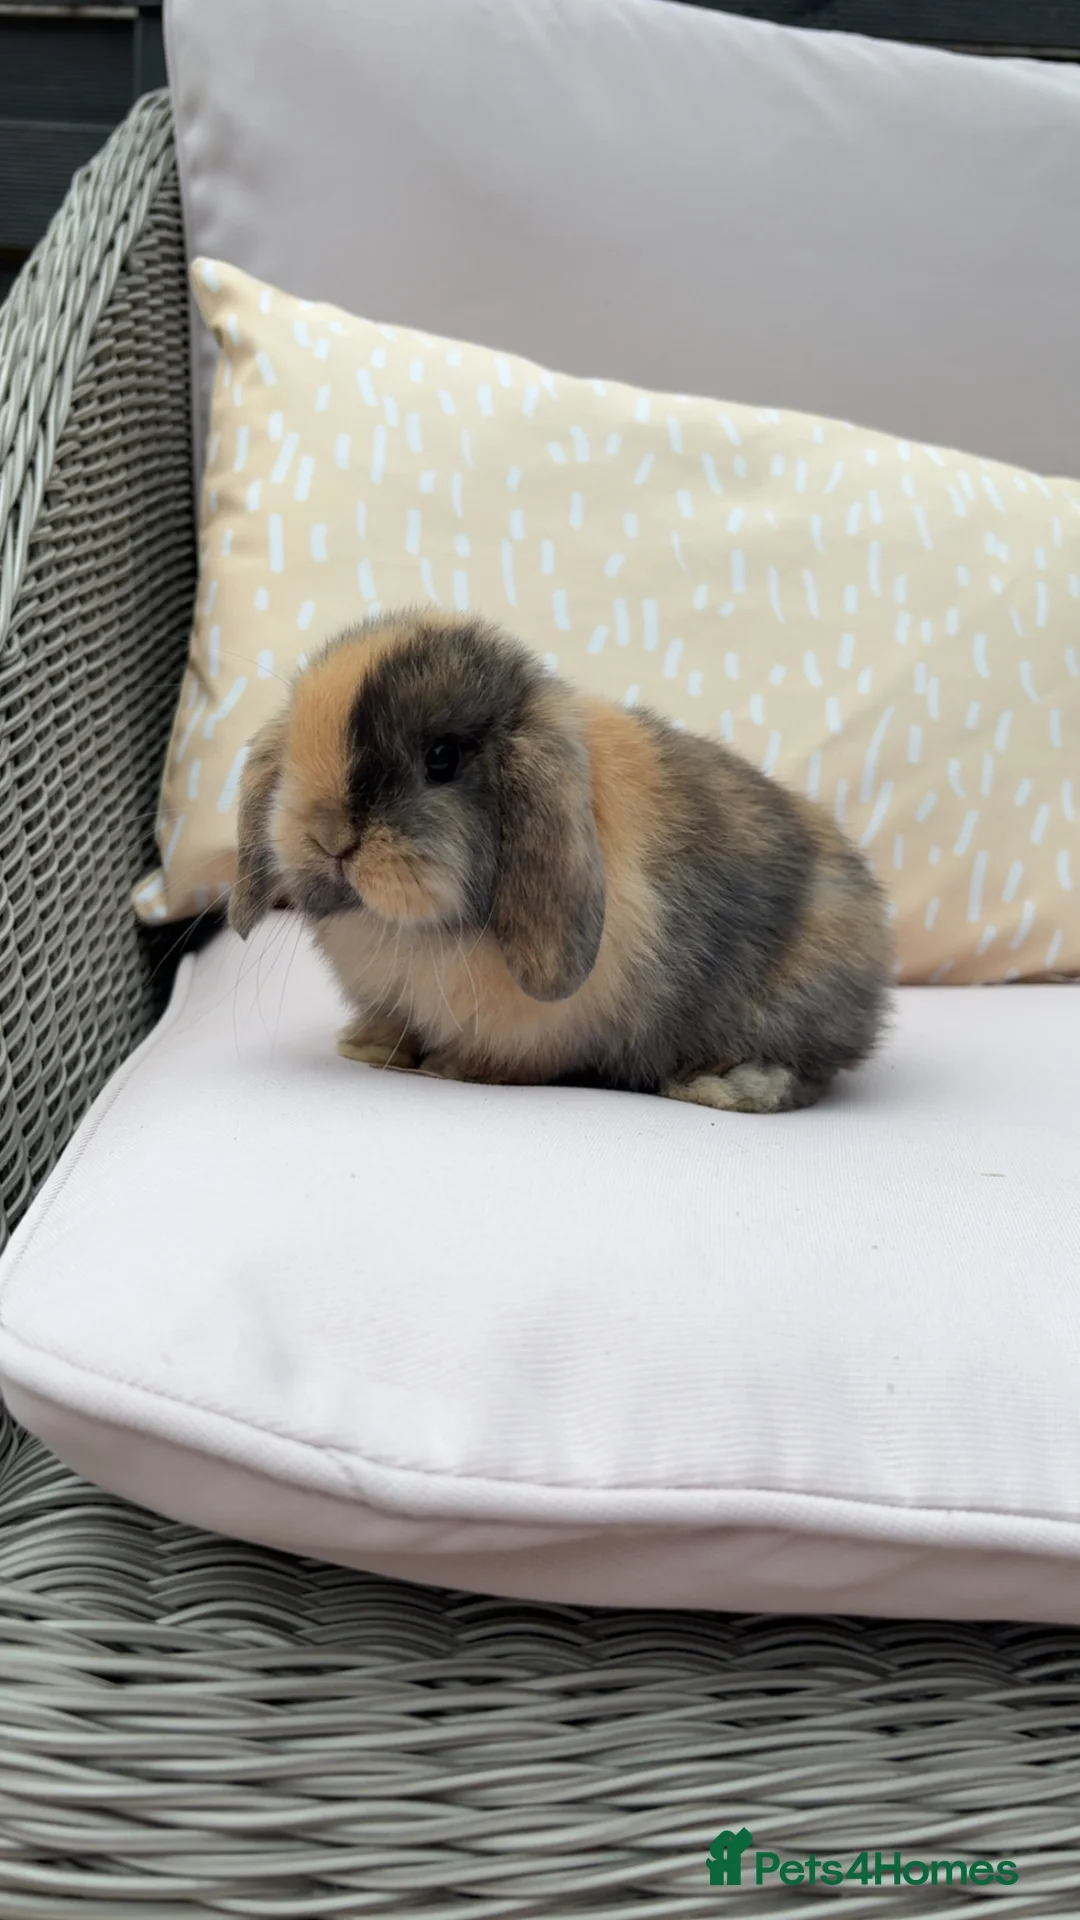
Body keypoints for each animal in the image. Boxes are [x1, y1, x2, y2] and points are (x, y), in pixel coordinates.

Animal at [229, 610, 891, 1111]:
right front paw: (365, 1044)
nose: (327, 836)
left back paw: (718, 1086)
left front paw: (449, 1066)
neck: (412, 933)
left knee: (805, 1073)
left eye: (441, 758)